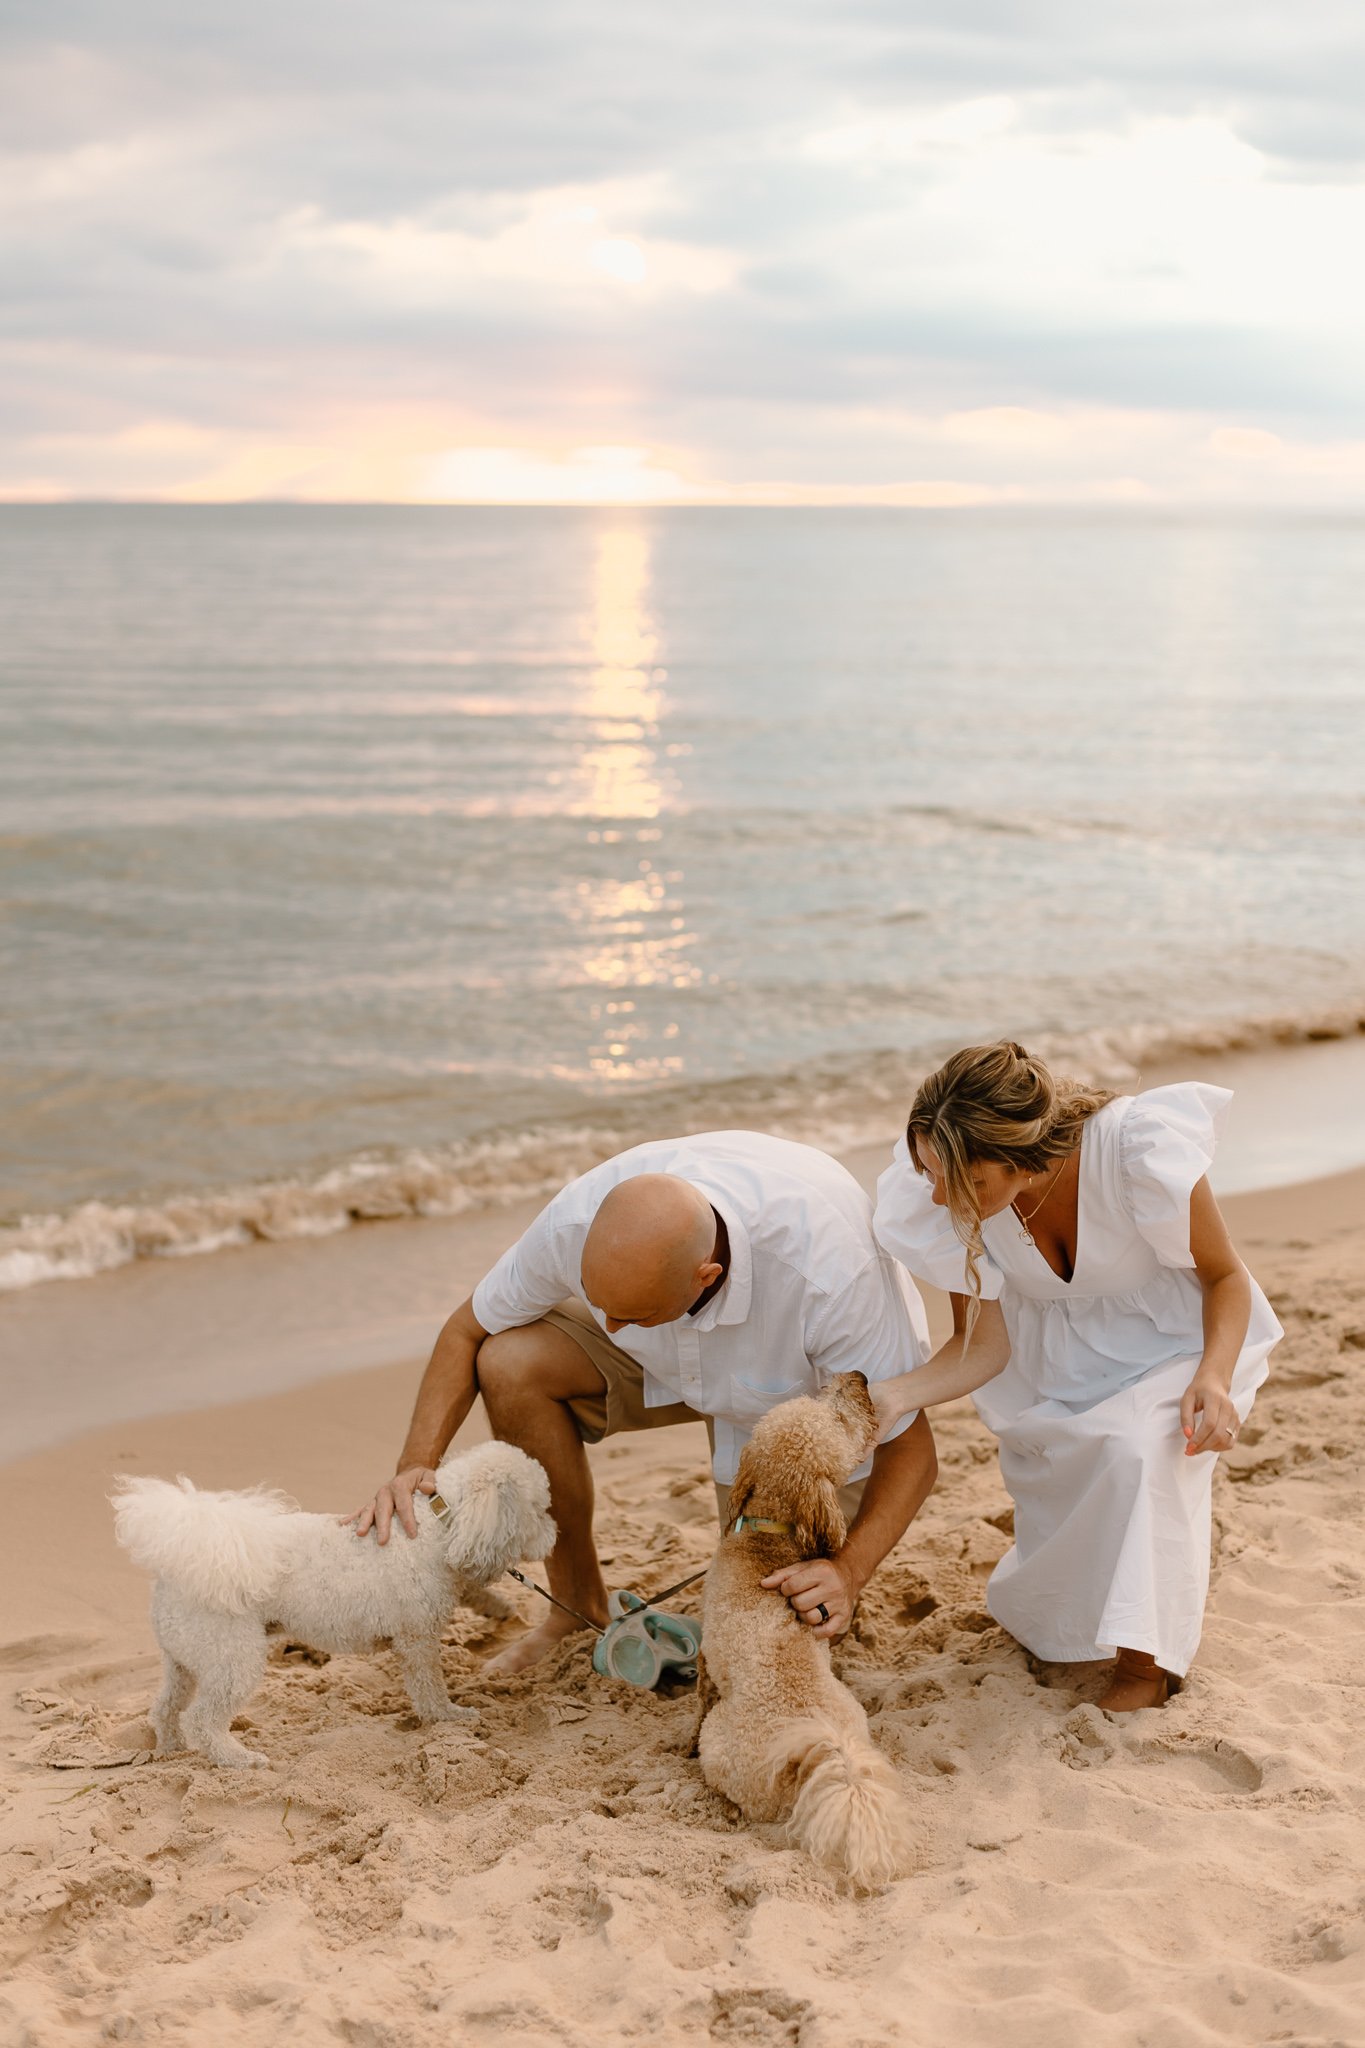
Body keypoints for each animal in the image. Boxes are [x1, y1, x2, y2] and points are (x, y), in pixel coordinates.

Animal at [109, 1441, 552, 1761]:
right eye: (540, 1509)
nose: (555, 1535)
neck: (437, 1519)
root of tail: (178, 1564)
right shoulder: (417, 1638)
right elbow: (429, 1688)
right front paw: (448, 1718)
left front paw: (499, 1606)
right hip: (231, 1657)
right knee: (202, 1719)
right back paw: (238, 1759)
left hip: (184, 1658)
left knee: (166, 1708)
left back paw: (171, 1750)